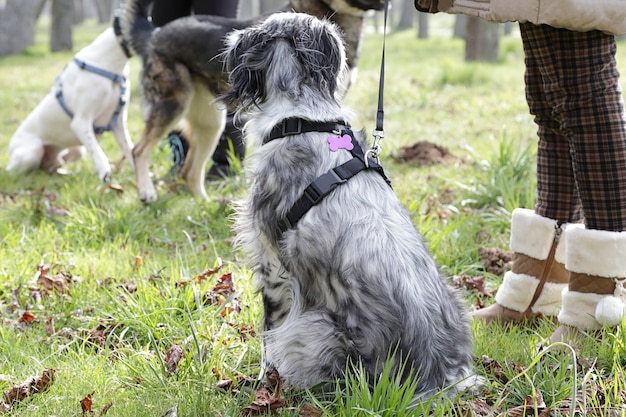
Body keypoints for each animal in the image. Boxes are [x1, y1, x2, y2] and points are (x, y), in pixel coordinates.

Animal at [6, 16, 134, 180]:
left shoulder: (118, 122)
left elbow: (130, 149)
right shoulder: (81, 122)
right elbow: (98, 152)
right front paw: (105, 174)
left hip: (77, 151)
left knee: (52, 167)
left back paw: (66, 173)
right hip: (31, 152)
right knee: (18, 171)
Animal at [222, 12, 476, 396]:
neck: (301, 116)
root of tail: (436, 374)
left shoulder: (272, 264)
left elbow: (268, 333)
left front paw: (265, 381)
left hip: (312, 328)